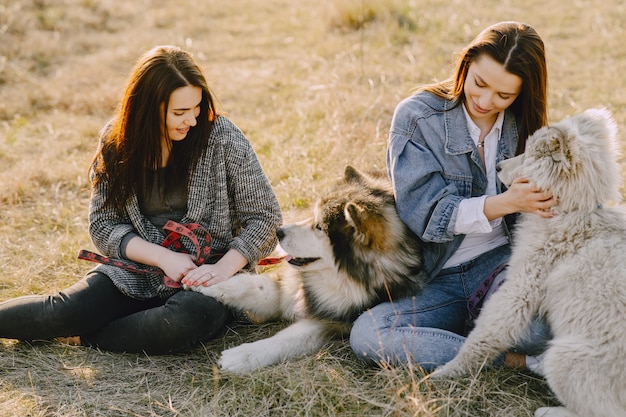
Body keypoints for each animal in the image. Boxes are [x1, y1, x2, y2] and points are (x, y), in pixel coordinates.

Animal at [432, 108, 624, 416]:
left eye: (532, 154)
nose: (498, 168)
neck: (572, 212)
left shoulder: (521, 284)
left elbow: (484, 333)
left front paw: (446, 372)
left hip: (564, 358)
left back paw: (549, 410)